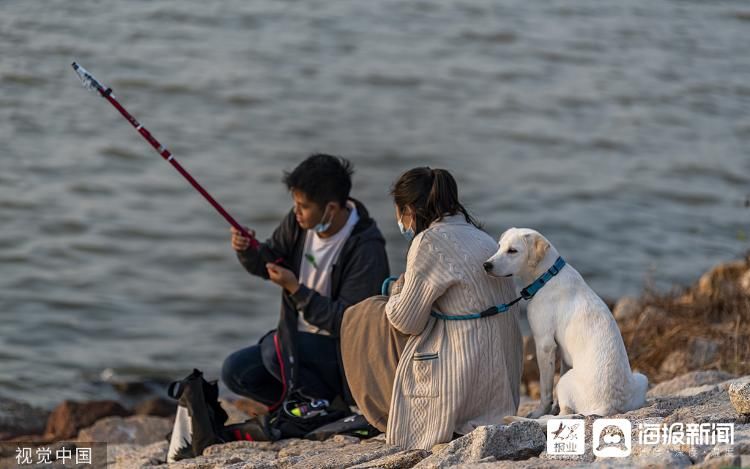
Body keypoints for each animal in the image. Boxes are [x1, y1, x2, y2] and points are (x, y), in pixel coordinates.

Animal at [484, 227, 648, 416]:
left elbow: (546, 389)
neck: (547, 277)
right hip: (642, 377)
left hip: (564, 382)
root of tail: (608, 407)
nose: (486, 265)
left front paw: (540, 412)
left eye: (513, 251)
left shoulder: (545, 345)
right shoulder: (564, 354)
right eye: (499, 246)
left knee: (565, 411)